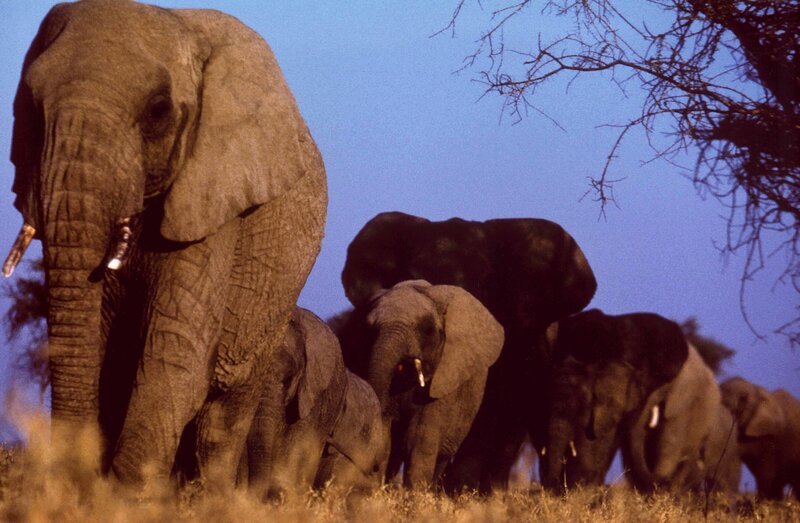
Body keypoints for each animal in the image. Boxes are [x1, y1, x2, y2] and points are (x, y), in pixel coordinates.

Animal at [3, 0, 326, 489]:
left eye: (158, 110)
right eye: (30, 107)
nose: (77, 477)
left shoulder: (213, 200)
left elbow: (173, 353)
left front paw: (124, 494)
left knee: (224, 414)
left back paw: (213, 495)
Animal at [338, 280, 504, 490]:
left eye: (427, 330)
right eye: (368, 330)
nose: (371, 470)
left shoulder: (444, 380)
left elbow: (418, 440)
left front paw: (414, 496)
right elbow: (386, 437)